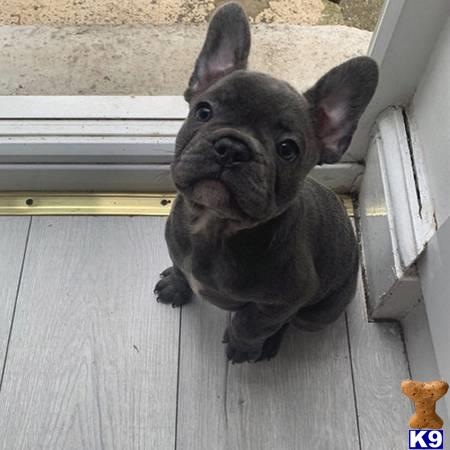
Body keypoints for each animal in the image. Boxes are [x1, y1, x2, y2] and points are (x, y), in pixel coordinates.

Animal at [153, 1, 378, 364]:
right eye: (203, 112)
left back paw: (269, 345)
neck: (214, 228)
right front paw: (176, 284)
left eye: (287, 149)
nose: (232, 148)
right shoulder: (177, 246)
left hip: (315, 314)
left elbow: (252, 323)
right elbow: (179, 265)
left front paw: (241, 345)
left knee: (290, 322)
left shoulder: (282, 302)